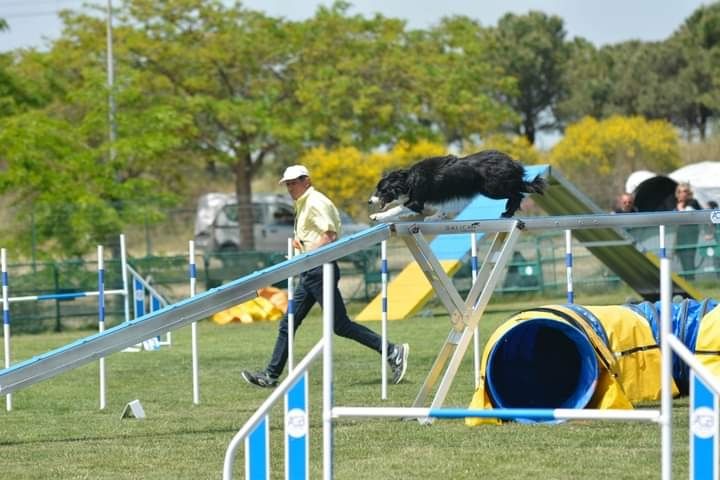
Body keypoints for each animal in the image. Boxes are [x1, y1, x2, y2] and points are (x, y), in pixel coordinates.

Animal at [372, 149, 544, 222]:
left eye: (381, 190)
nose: (369, 201)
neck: (407, 181)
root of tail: (512, 161)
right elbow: (434, 210)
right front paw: (434, 217)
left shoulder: (417, 199)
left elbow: (398, 208)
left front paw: (377, 216)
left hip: (493, 189)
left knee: (517, 194)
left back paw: (507, 213)